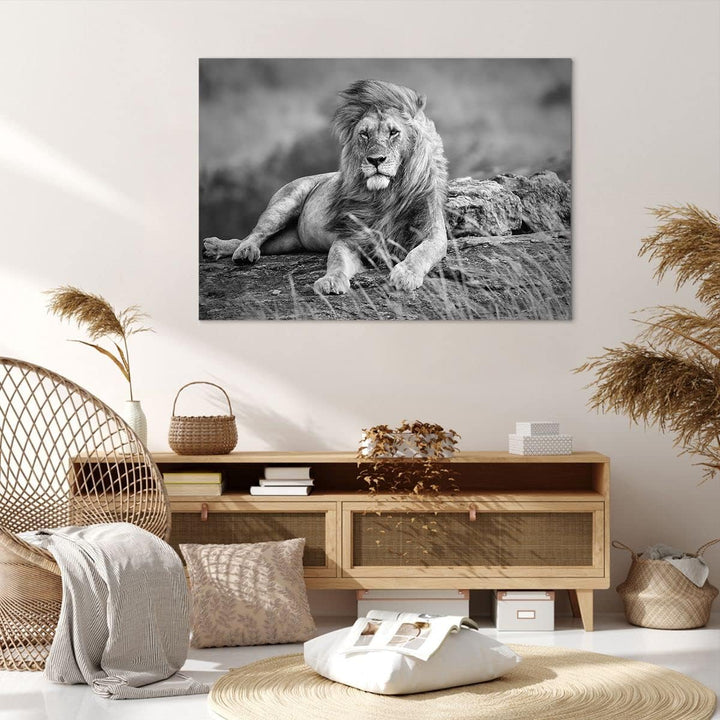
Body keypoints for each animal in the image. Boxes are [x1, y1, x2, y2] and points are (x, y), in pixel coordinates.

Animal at [203, 79, 449, 294]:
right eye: (364, 134)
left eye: (394, 132)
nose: (376, 160)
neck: (386, 194)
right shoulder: (350, 237)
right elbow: (337, 260)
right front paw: (330, 281)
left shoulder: (433, 233)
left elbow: (421, 253)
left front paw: (406, 274)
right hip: (284, 204)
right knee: (255, 234)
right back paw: (238, 250)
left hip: (288, 241)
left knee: (261, 242)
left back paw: (217, 248)